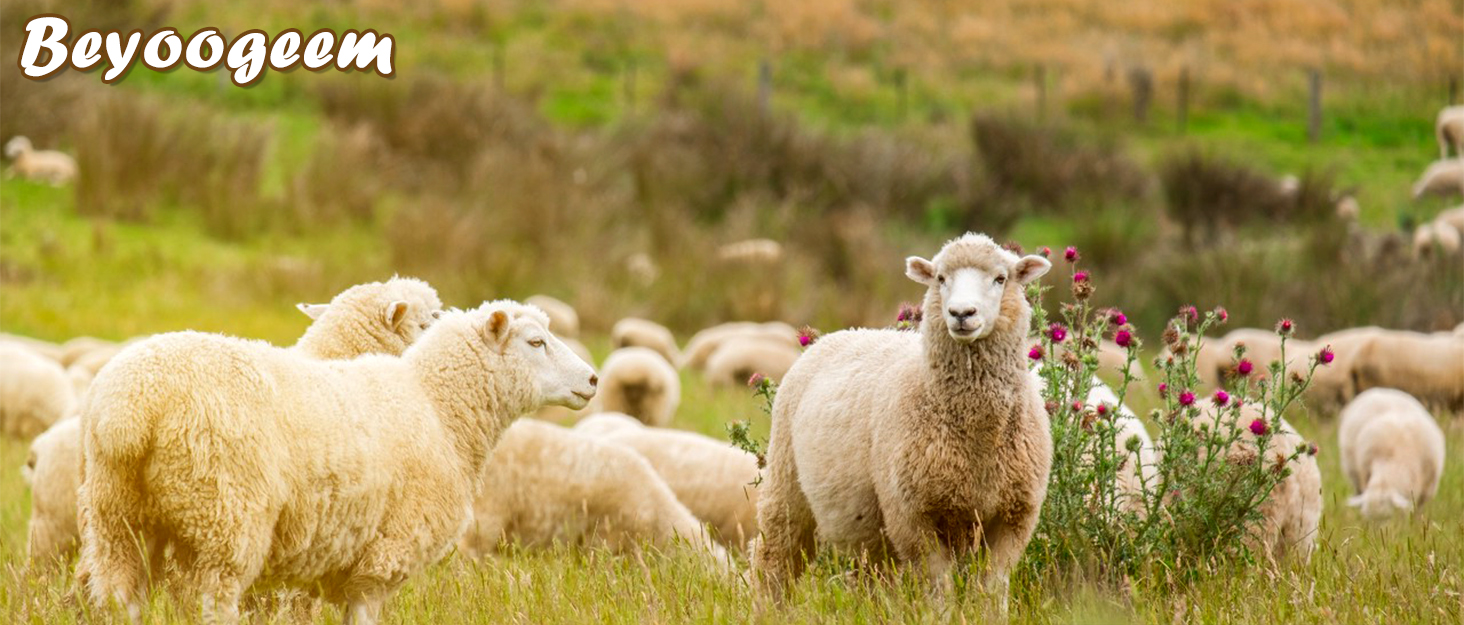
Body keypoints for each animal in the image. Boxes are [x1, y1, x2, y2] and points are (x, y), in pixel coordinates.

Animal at [75, 301, 594, 623]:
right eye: (535, 342)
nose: (591, 379)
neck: (438, 407)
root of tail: (132, 405)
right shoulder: (384, 556)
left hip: (116, 519)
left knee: (121, 600)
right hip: (224, 518)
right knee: (213, 604)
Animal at [749, 234, 1048, 611]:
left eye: (1000, 278)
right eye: (940, 278)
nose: (961, 314)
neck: (977, 438)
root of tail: (843, 332)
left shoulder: (1015, 516)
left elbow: (993, 588)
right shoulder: (911, 515)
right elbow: (939, 586)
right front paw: (942, 615)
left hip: (869, 526)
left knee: (870, 576)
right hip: (786, 484)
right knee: (774, 557)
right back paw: (768, 608)